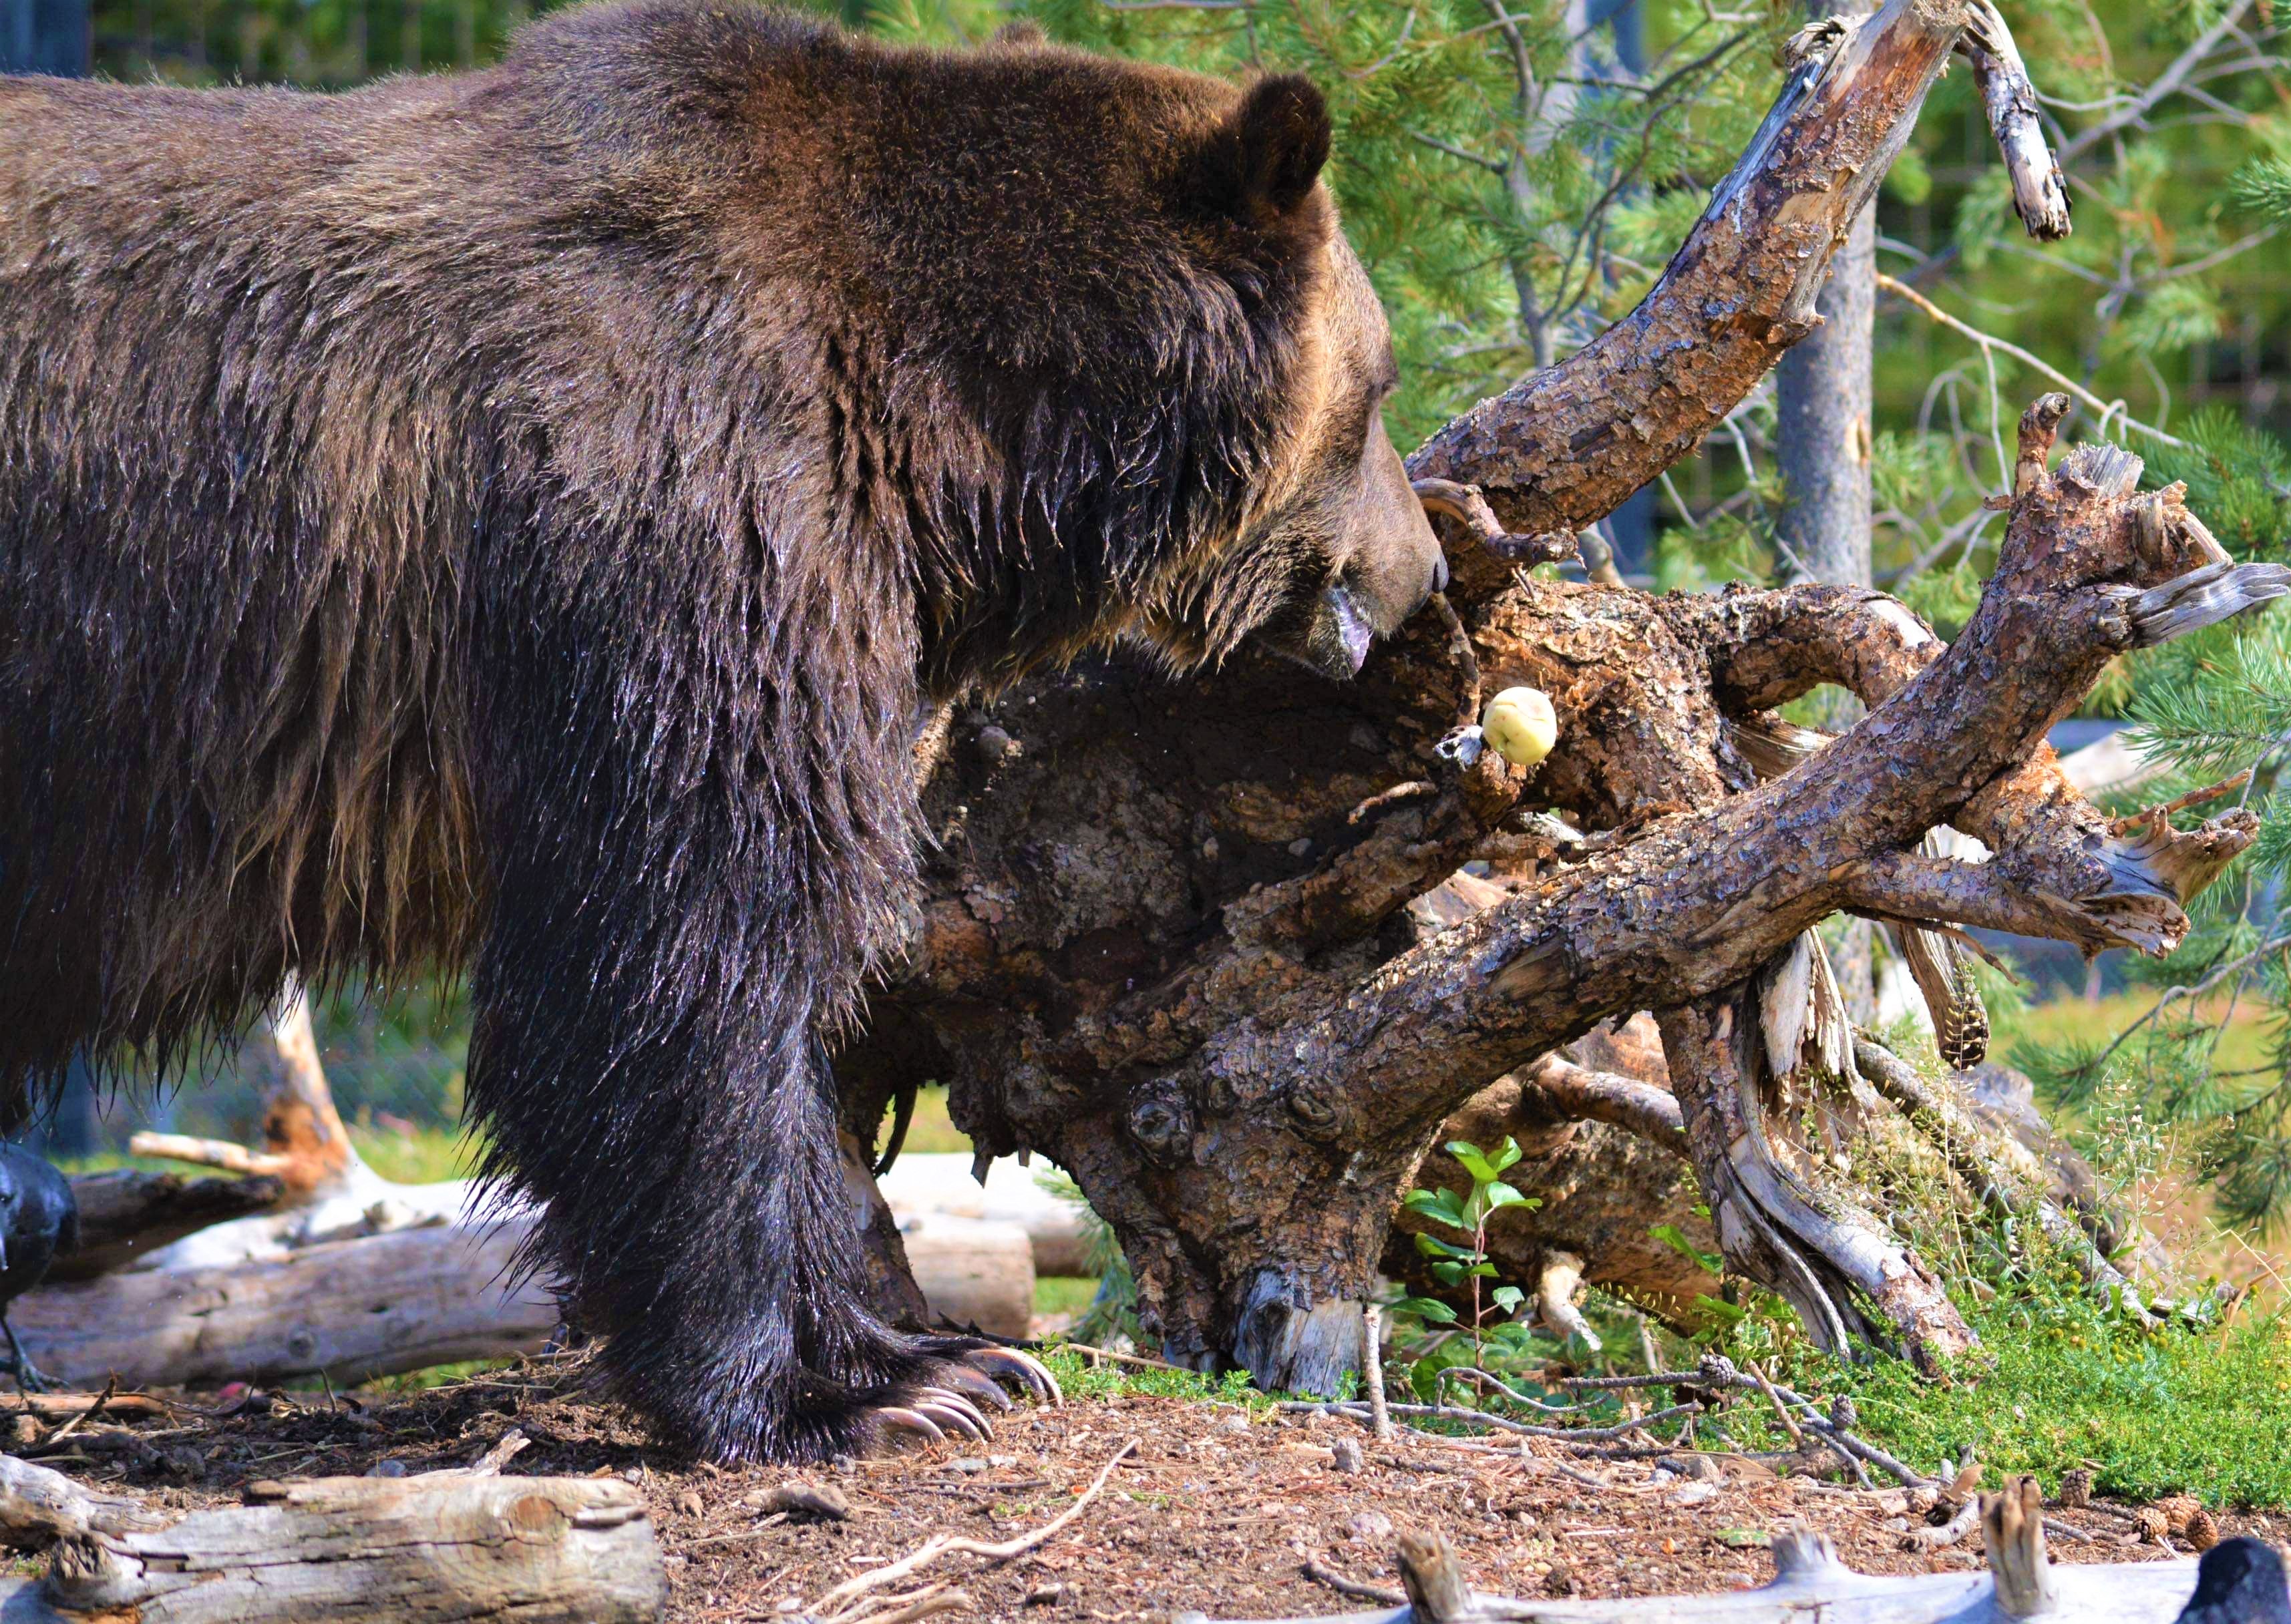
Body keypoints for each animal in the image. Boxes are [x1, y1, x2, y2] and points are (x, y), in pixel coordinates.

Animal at [0, 0, 1429, 1456]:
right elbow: (686, 961)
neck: (951, 441)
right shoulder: (674, 536)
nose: (1417, 571)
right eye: (1378, 392)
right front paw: (827, 1392)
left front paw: (932, 1354)